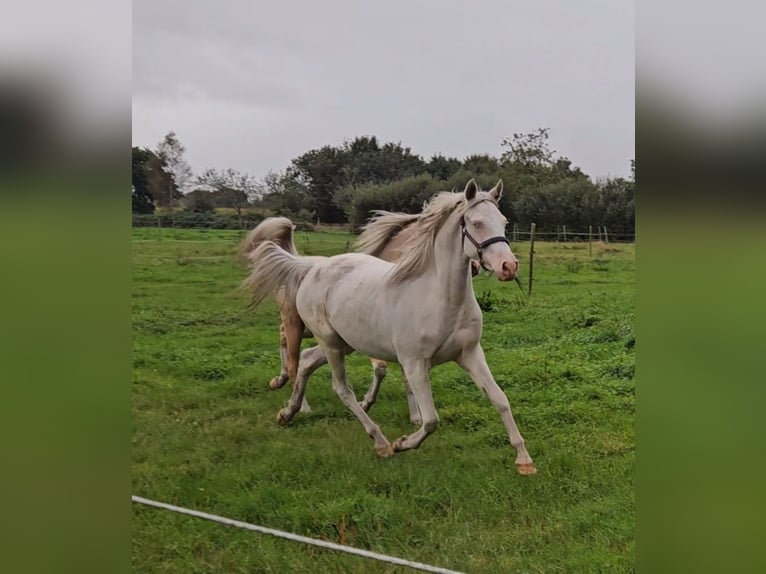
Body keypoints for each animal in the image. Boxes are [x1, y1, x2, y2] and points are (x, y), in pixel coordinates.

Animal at [240, 214, 480, 420]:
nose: (476, 266)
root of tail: (299, 263)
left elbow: (393, 372)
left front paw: (411, 415)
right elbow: (383, 368)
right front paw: (374, 405)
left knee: (284, 342)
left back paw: (278, 382)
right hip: (295, 324)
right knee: (292, 360)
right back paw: (302, 406)